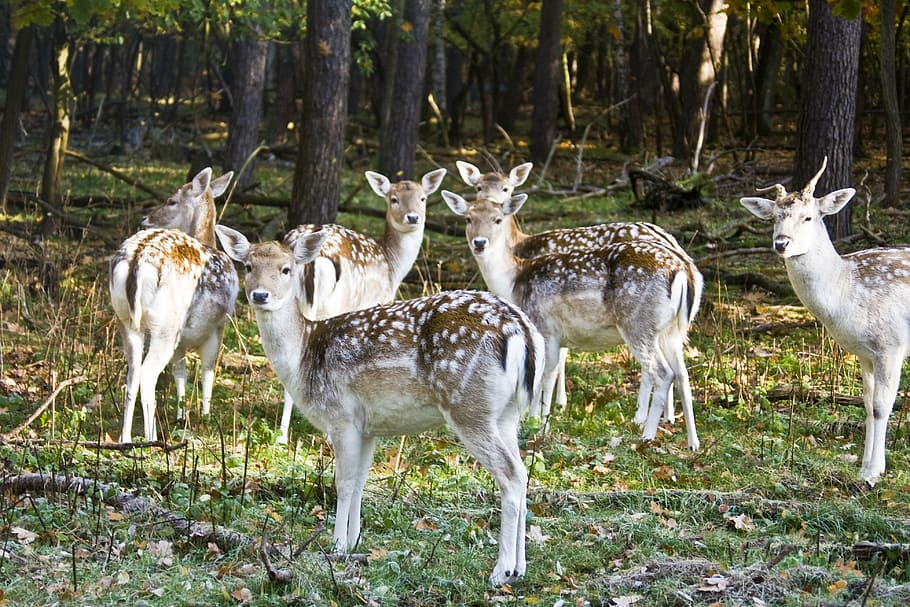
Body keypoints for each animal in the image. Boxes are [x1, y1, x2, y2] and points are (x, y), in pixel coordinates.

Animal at [110, 167, 239, 443]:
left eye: (171, 200)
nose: (145, 218)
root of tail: (136, 260)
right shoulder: (220, 325)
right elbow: (208, 372)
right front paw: (205, 417)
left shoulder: (183, 339)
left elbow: (181, 373)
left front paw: (181, 415)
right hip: (165, 325)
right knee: (148, 374)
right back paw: (152, 437)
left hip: (126, 321)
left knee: (132, 374)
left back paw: (125, 438)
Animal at [214, 224, 544, 587]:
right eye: (248, 266)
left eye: (286, 269)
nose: (260, 295)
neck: (303, 356)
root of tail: (522, 332)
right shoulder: (368, 427)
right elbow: (360, 481)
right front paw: (355, 541)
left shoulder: (340, 415)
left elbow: (343, 482)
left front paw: (337, 545)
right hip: (505, 413)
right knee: (523, 472)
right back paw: (521, 567)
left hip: (469, 406)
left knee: (510, 474)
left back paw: (502, 570)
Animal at [273, 167, 446, 443]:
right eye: (393, 199)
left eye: (423, 198)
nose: (413, 217)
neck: (392, 266)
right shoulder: (377, 302)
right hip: (333, 303)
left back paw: (282, 435)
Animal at [443, 190, 701, 451]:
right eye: (468, 218)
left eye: (498, 219)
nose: (479, 243)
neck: (512, 281)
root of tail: (684, 272)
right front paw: (535, 419)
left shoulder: (545, 328)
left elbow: (545, 377)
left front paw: (539, 424)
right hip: (671, 331)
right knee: (682, 374)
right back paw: (692, 442)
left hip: (638, 323)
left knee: (662, 373)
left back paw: (645, 436)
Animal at [740, 157, 910, 483]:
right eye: (774, 217)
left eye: (808, 217)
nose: (781, 243)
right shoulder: (865, 353)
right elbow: (867, 404)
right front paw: (865, 467)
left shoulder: (891, 343)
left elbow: (882, 406)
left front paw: (872, 474)